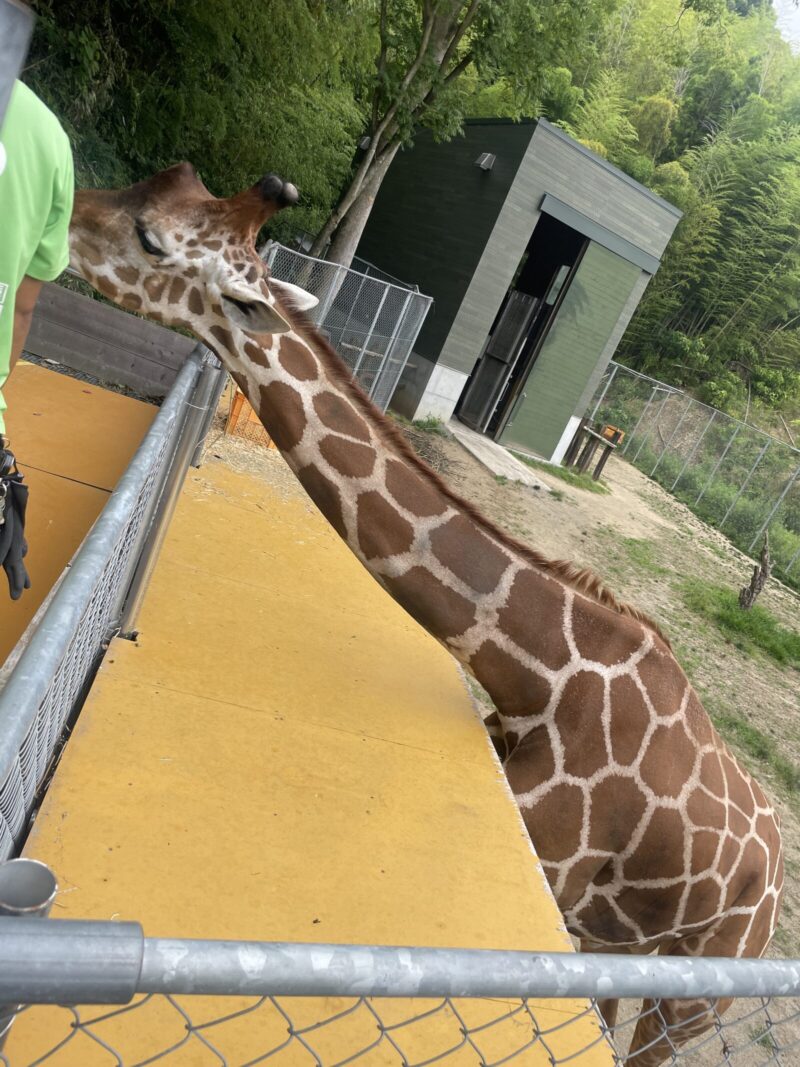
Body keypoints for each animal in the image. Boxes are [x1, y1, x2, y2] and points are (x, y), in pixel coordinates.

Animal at [68, 162, 785, 1062]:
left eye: (152, 239)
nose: (63, 213)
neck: (537, 672)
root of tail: (776, 897)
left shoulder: (551, 868)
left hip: (693, 996)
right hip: (623, 946)